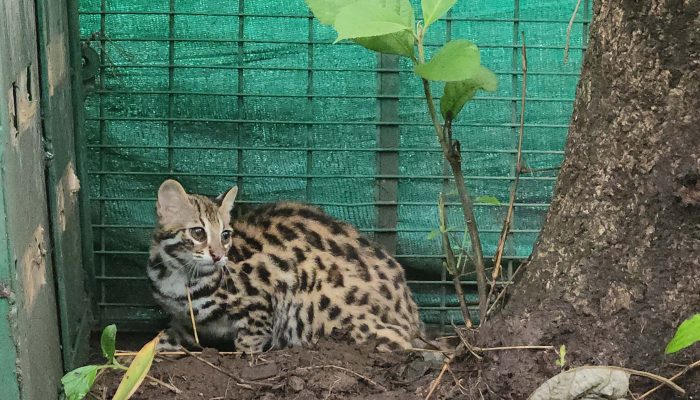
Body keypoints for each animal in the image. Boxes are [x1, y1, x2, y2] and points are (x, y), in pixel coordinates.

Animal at [147, 179, 423, 353]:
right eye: (198, 233)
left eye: (225, 235)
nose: (218, 256)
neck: (178, 275)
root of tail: (413, 320)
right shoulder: (183, 320)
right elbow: (165, 337)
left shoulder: (261, 302)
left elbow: (249, 342)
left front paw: (244, 359)